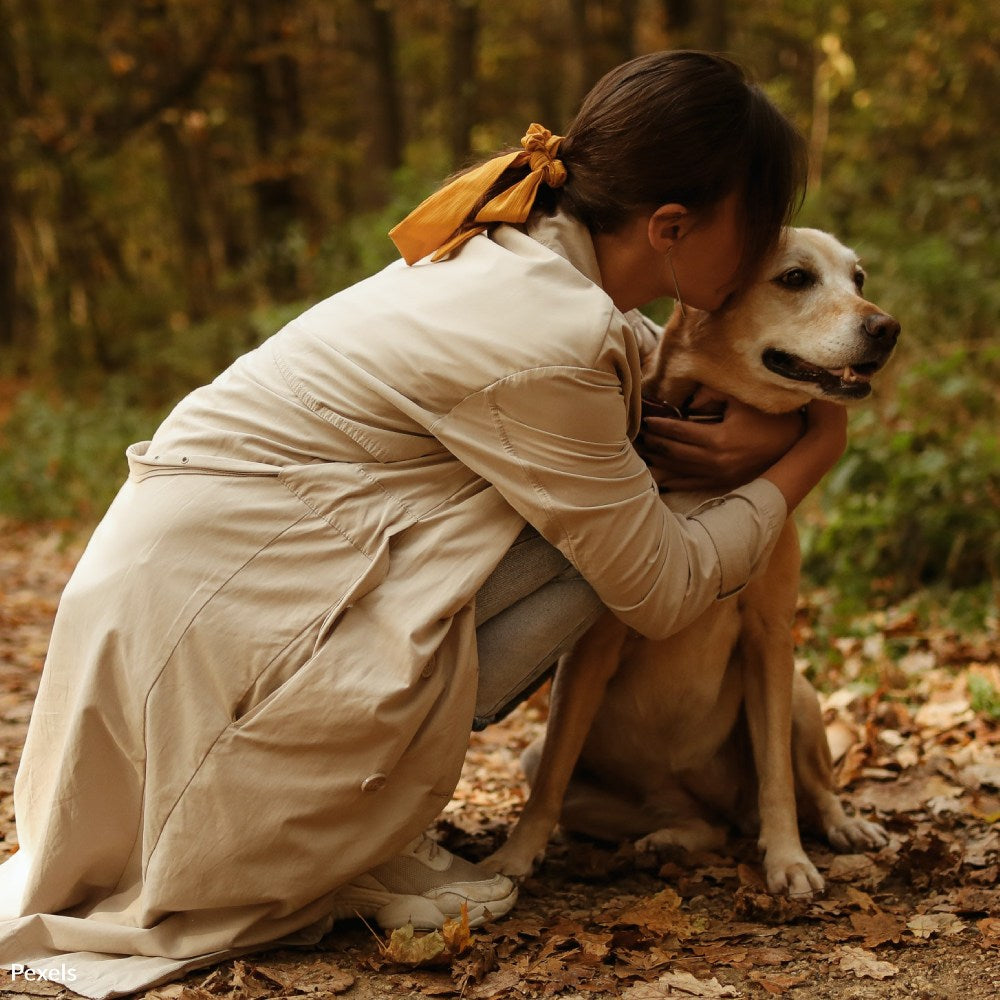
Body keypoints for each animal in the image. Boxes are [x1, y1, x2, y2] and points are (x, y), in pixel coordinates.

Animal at [484, 229, 900, 900]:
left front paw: (788, 860)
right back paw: (665, 841)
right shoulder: (588, 654)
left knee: (811, 788)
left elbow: (779, 779)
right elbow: (549, 782)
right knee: (696, 824)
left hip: (801, 697)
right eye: (795, 278)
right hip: (573, 765)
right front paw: (514, 858)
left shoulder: (769, 640)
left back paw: (842, 826)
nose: (887, 328)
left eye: (858, 278)